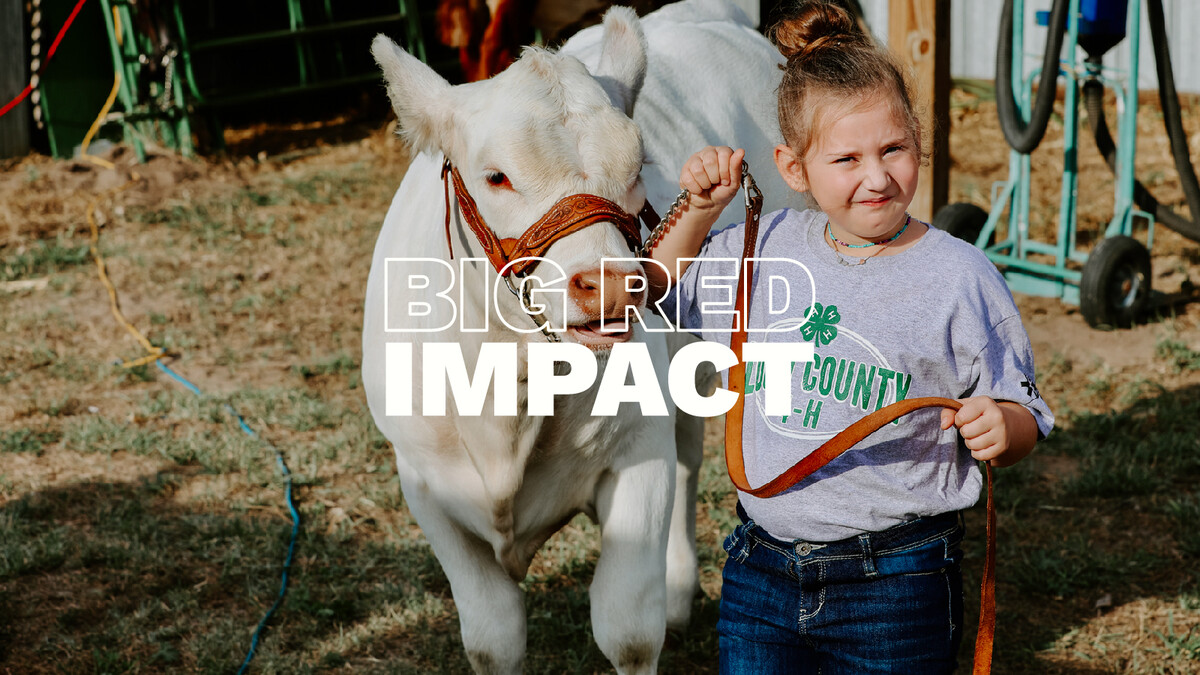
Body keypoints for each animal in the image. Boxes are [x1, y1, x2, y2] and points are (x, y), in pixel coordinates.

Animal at [360, 2, 782, 667]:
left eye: (637, 168)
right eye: (497, 176)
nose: (609, 285)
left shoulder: (639, 452)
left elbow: (629, 630)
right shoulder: (425, 484)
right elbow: (493, 638)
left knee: (690, 456)